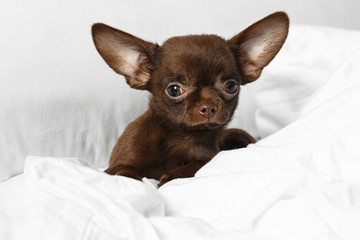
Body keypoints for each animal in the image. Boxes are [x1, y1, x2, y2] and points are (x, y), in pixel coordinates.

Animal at [92, 12, 290, 187]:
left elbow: (196, 165)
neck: (182, 137)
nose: (208, 106)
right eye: (174, 90)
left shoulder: (208, 157)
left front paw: (173, 175)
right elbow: (123, 170)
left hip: (237, 134)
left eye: (231, 86)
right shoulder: (120, 160)